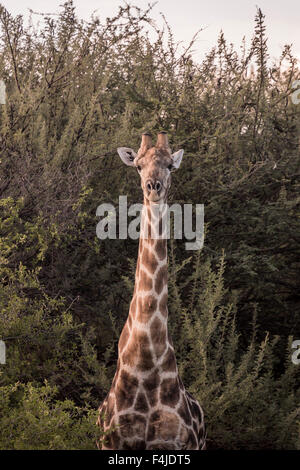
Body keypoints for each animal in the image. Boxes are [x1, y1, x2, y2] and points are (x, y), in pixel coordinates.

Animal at [97, 131, 207, 448]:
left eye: (170, 165)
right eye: (138, 166)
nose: (153, 187)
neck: (146, 358)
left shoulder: (177, 442)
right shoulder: (111, 439)